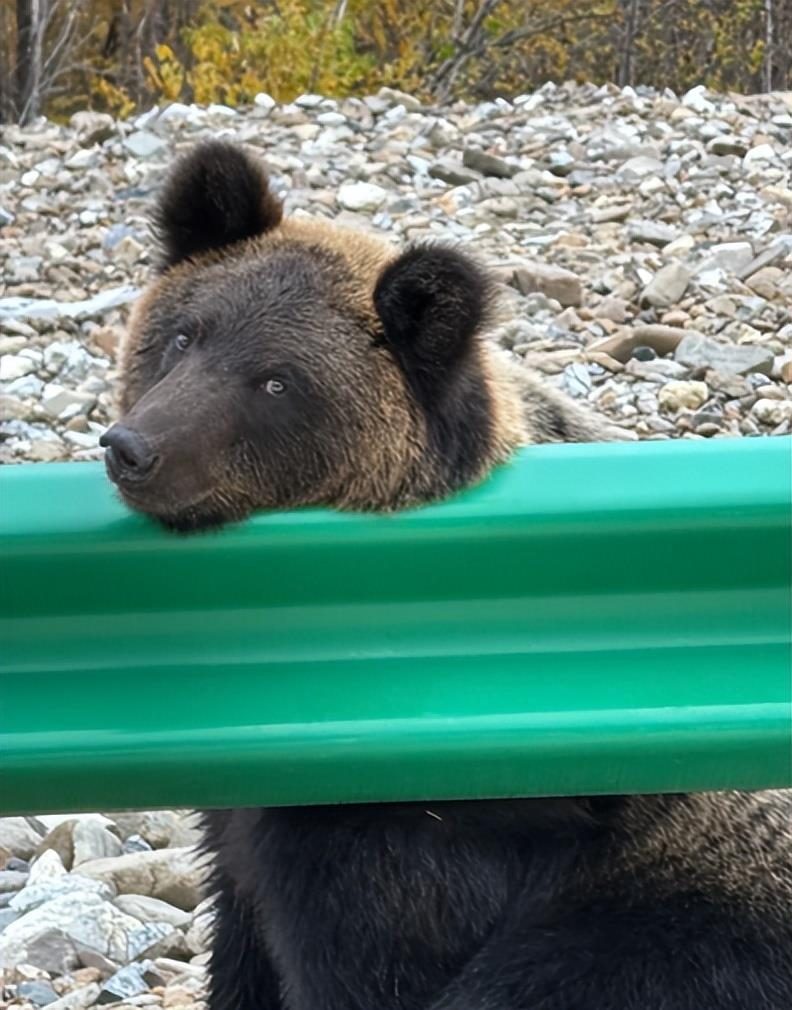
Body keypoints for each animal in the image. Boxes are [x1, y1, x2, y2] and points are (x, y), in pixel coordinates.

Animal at [101, 141, 792, 1010]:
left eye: (278, 380)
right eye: (185, 335)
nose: (135, 447)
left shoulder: (426, 836)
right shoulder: (244, 833)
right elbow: (242, 944)